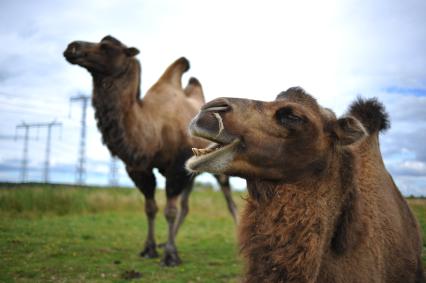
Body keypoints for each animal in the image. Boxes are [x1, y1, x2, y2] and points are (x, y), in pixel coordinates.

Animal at [63, 35, 238, 266]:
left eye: (107, 47)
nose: (72, 47)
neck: (152, 127)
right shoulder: (139, 168)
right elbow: (150, 208)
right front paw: (150, 248)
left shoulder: (176, 167)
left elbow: (170, 210)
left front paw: (171, 256)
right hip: (193, 170)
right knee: (186, 206)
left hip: (219, 165)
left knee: (230, 202)